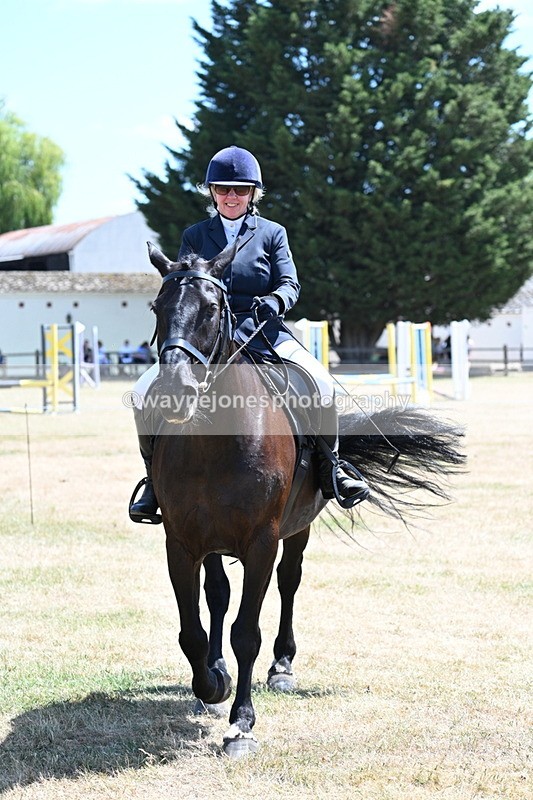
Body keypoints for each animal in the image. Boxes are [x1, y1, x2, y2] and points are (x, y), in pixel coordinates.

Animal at [140, 241, 464, 758]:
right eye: (158, 308)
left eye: (211, 308)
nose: (175, 392)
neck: (214, 441)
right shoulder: (182, 542)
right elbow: (192, 630)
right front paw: (212, 684)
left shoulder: (262, 542)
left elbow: (247, 633)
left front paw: (241, 724)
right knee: (218, 596)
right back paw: (217, 672)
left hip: (296, 530)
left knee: (289, 583)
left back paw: (282, 666)